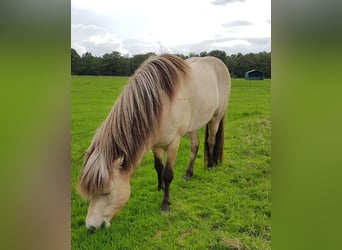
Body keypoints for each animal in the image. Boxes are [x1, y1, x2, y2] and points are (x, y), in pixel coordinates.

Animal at [78, 53, 231, 231]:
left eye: (107, 192)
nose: (91, 226)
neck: (161, 104)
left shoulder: (173, 143)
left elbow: (168, 173)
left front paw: (165, 204)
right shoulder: (155, 144)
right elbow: (158, 167)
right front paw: (160, 188)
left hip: (216, 118)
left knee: (211, 141)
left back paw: (211, 165)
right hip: (194, 125)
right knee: (195, 145)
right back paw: (188, 173)